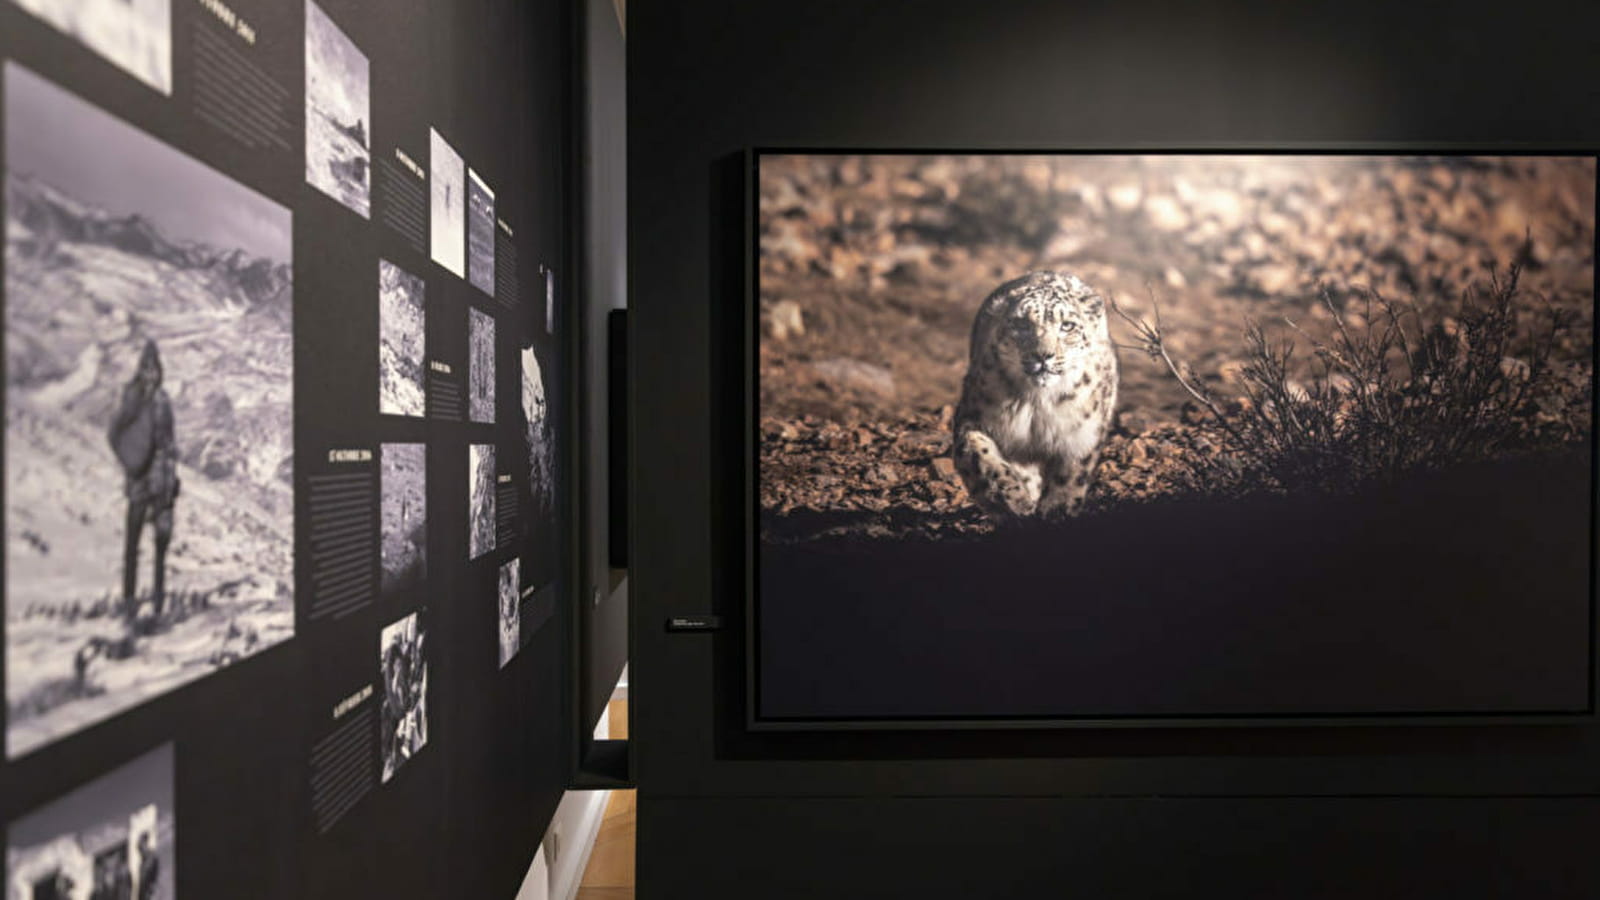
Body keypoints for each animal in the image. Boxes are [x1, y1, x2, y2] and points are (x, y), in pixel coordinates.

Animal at [953, 269, 1120, 515]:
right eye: (1022, 324)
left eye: (1067, 325)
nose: (1043, 355)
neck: (1038, 403)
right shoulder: (972, 415)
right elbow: (979, 454)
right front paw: (1012, 498)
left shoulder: (1082, 435)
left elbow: (1071, 476)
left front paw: (1057, 510)